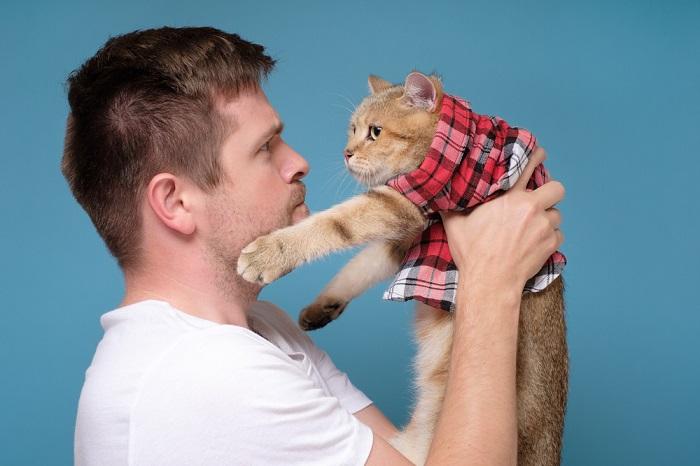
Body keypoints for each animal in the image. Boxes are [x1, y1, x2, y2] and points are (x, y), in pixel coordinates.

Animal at [238, 71, 568, 464]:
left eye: (375, 132)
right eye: (352, 129)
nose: (346, 153)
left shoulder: (401, 206)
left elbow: (333, 225)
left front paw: (268, 254)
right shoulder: (410, 233)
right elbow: (361, 264)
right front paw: (323, 305)